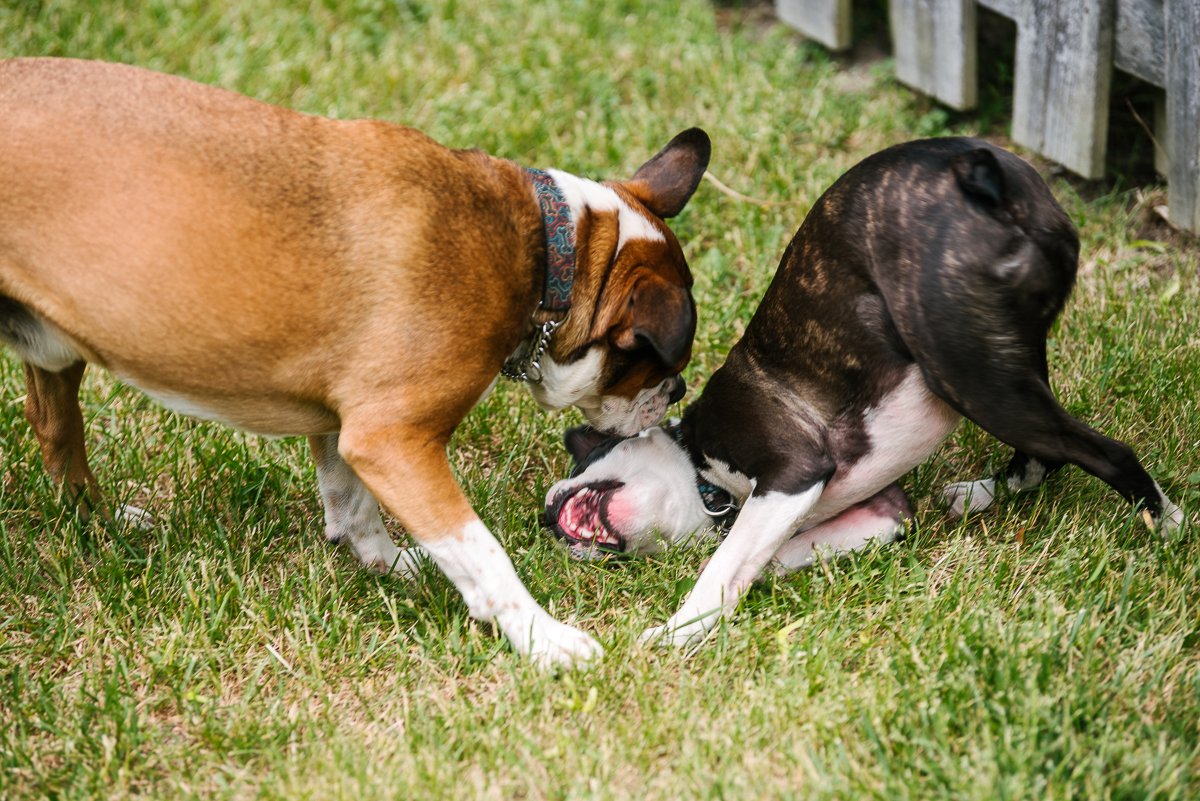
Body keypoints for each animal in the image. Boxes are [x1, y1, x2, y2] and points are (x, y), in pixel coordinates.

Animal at [0, 59, 705, 666]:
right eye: (648, 365)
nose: (677, 392)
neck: (541, 248)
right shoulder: (395, 439)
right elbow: (480, 551)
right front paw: (542, 638)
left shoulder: (352, 430)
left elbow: (352, 507)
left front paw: (390, 565)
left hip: (53, 350)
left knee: (54, 426)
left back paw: (100, 523)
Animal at [549, 137, 1185, 647]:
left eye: (586, 454)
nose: (545, 511)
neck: (705, 481)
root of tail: (981, 174)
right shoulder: (880, 511)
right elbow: (767, 558)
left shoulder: (793, 471)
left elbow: (722, 567)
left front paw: (676, 632)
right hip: (1009, 360)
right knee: (1047, 454)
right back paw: (979, 494)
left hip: (970, 375)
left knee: (1101, 452)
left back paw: (1168, 526)